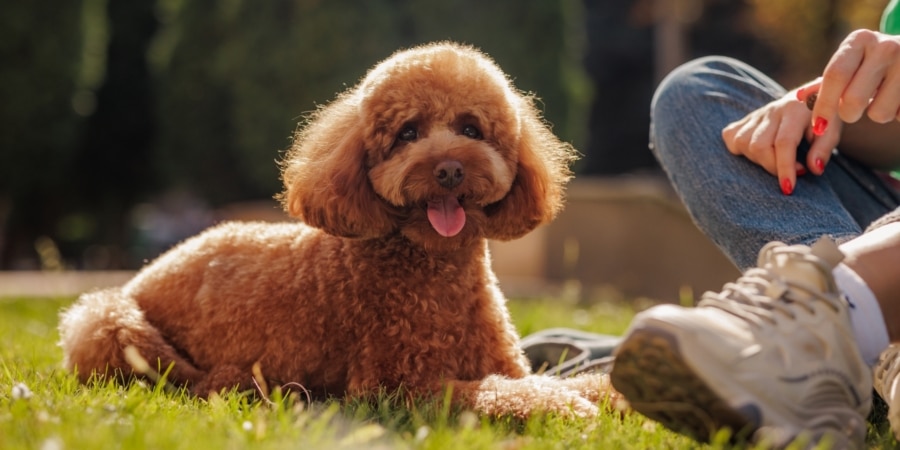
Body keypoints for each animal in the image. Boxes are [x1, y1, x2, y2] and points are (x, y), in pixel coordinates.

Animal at [56, 41, 624, 418]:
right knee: (172, 374)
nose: (448, 169)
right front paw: (563, 407)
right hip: (106, 320)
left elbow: (577, 380)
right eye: (407, 133)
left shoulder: (505, 362)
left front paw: (617, 392)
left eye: (471, 128)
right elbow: (492, 391)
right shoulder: (395, 385)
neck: (435, 267)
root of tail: (149, 269)